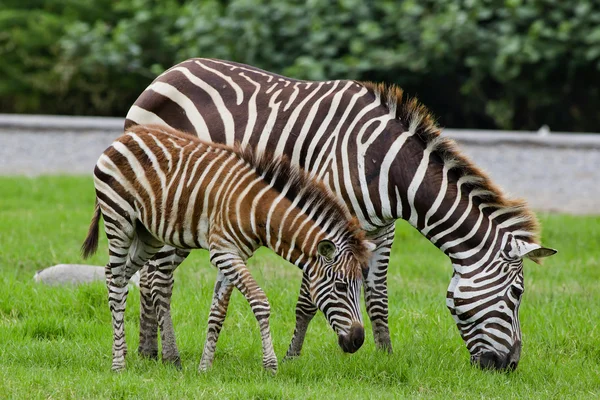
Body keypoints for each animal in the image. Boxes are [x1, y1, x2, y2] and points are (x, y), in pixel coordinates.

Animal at [79, 124, 370, 372]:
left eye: (360, 286)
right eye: (341, 287)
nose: (358, 340)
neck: (256, 210)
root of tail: (125, 135)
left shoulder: (233, 255)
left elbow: (218, 312)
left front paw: (204, 368)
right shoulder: (223, 252)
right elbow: (260, 301)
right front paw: (270, 365)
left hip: (147, 234)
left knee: (121, 275)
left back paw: (128, 353)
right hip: (119, 220)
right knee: (116, 278)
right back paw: (118, 364)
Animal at [124, 57, 556, 370]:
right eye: (517, 294)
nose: (511, 366)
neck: (388, 167)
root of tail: (169, 71)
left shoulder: (382, 230)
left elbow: (378, 296)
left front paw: (384, 356)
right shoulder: (327, 222)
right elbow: (308, 298)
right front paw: (292, 357)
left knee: (148, 276)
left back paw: (147, 352)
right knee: (158, 278)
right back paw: (166, 357)